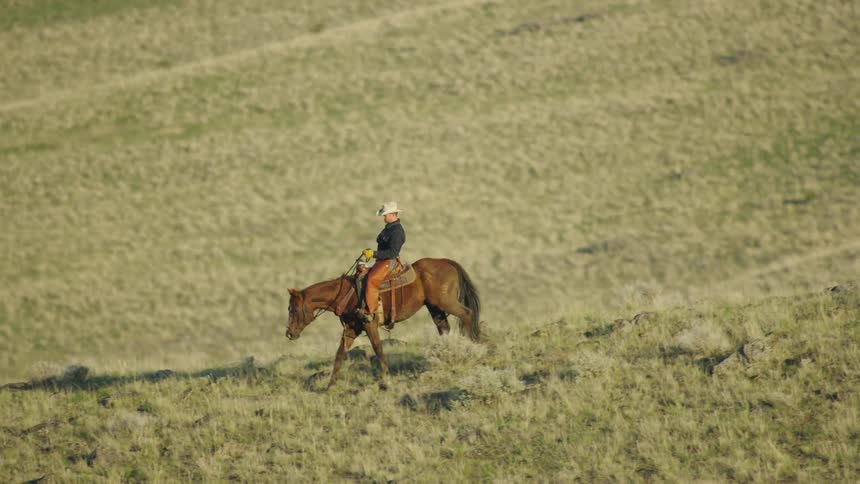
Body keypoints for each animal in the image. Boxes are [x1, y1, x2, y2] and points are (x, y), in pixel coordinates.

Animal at [286, 258, 481, 389]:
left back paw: (474, 344)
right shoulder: (351, 329)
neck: (347, 294)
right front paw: (330, 386)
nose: (289, 333)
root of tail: (447, 262)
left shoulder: (370, 324)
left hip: (447, 303)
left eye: (293, 309)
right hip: (435, 309)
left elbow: (378, 349)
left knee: (467, 315)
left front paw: (386, 379)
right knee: (444, 329)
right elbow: (340, 353)